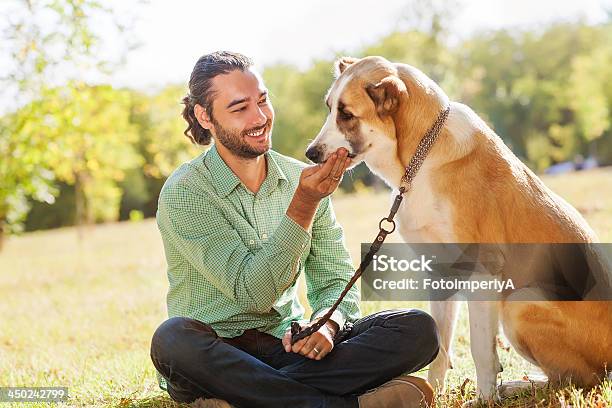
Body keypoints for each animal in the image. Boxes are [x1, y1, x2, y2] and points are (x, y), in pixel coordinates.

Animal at [306, 55, 612, 402]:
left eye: (346, 114)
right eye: (330, 107)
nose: (310, 153)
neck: (420, 157)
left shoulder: (483, 274)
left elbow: (482, 350)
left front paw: (485, 401)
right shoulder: (439, 272)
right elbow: (440, 346)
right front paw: (436, 395)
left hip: (520, 301)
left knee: (577, 379)